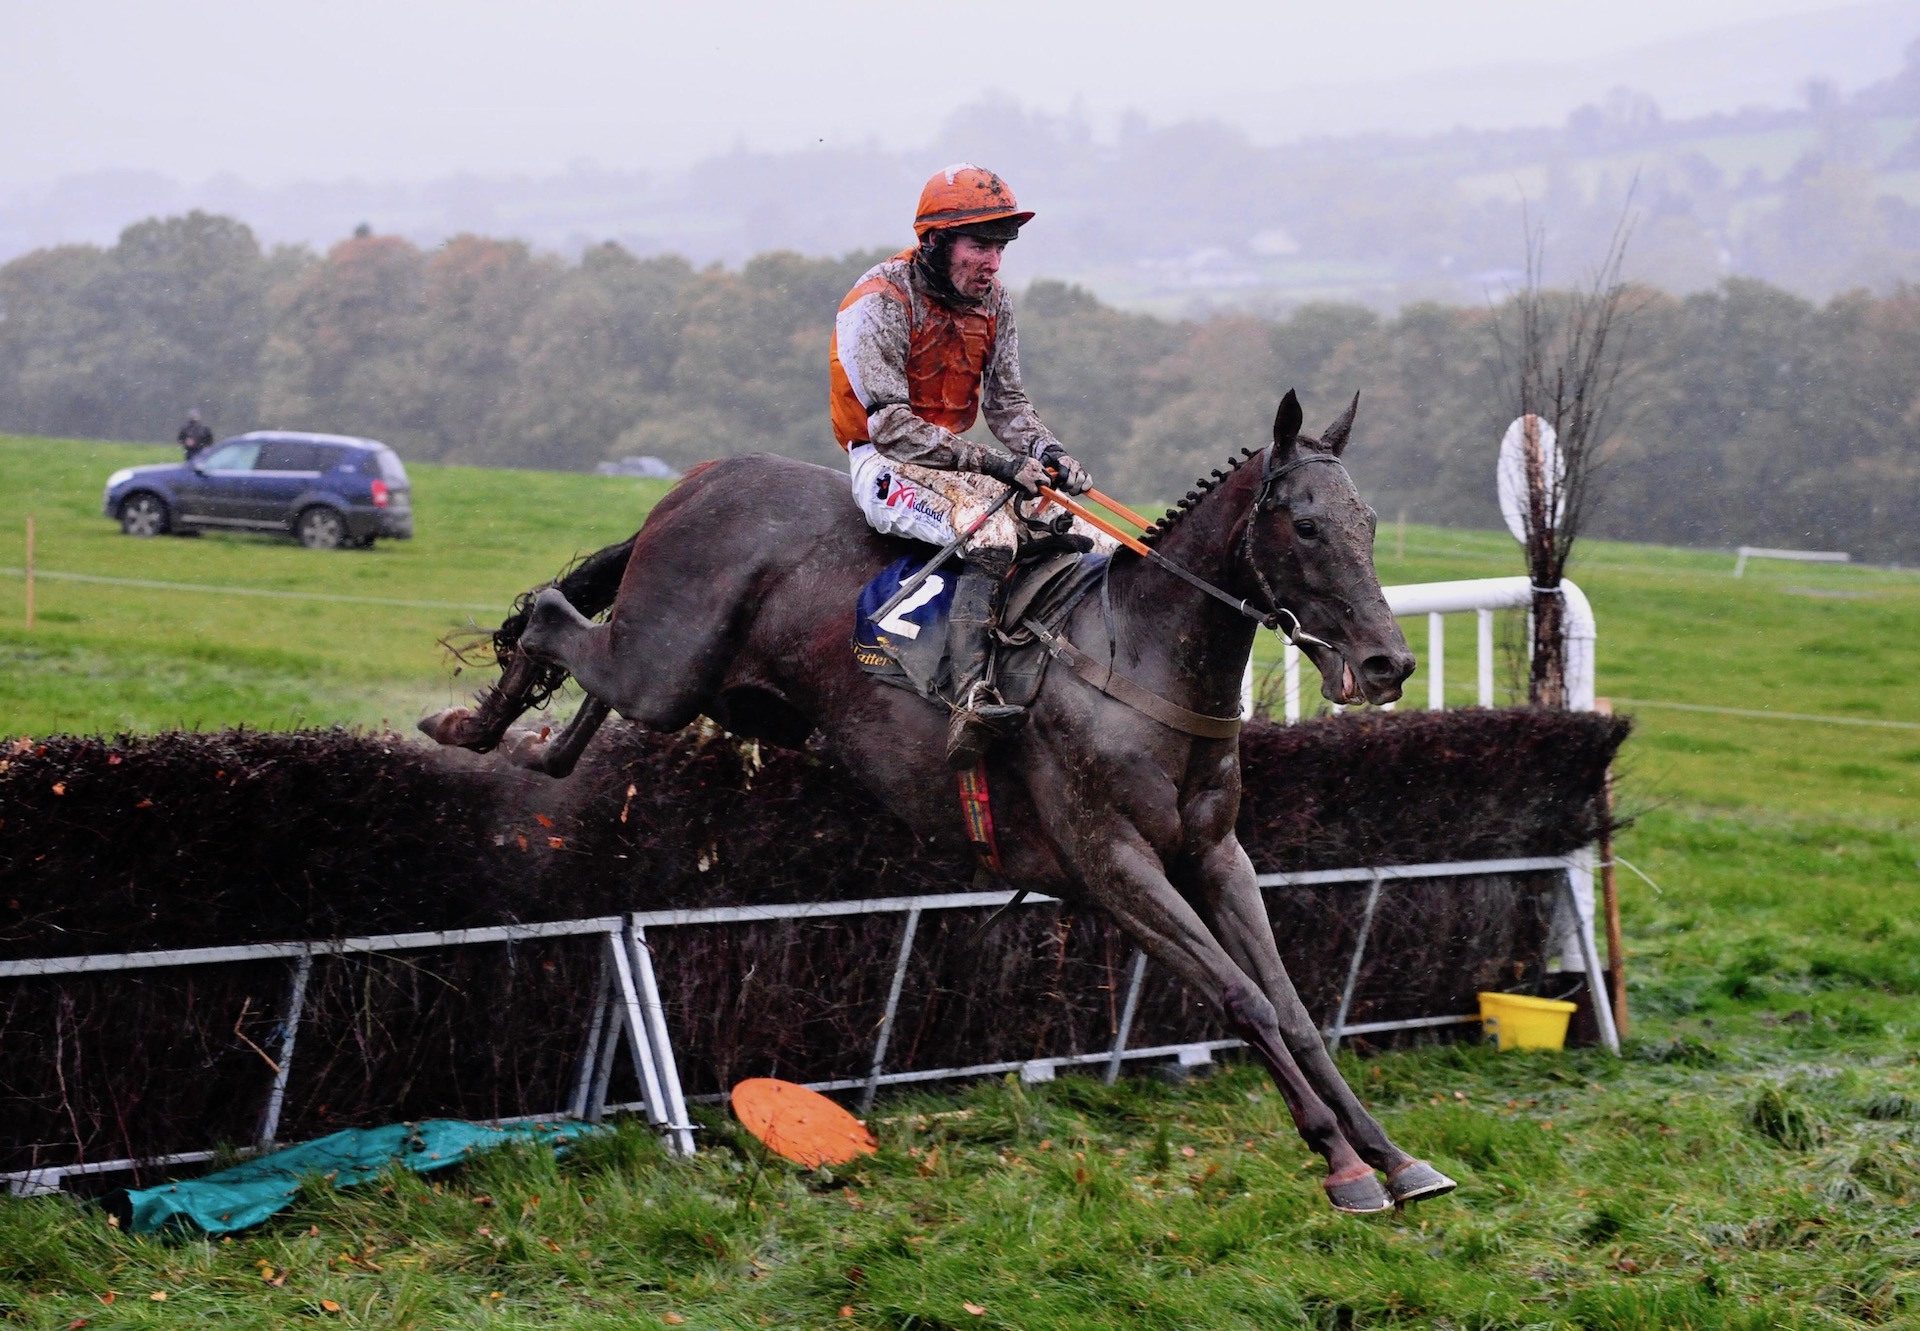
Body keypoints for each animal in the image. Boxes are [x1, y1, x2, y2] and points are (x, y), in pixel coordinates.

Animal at [428, 386, 1451, 1213]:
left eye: (1366, 522)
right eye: (1306, 527)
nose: (1387, 664)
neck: (1139, 657)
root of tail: (696, 482)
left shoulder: (1214, 854)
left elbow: (1294, 1006)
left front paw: (1395, 1156)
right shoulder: (1113, 864)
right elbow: (1243, 998)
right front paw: (1341, 1165)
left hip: (700, 683)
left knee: (581, 695)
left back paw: (525, 740)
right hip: (667, 665)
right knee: (553, 616)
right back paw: (465, 726)